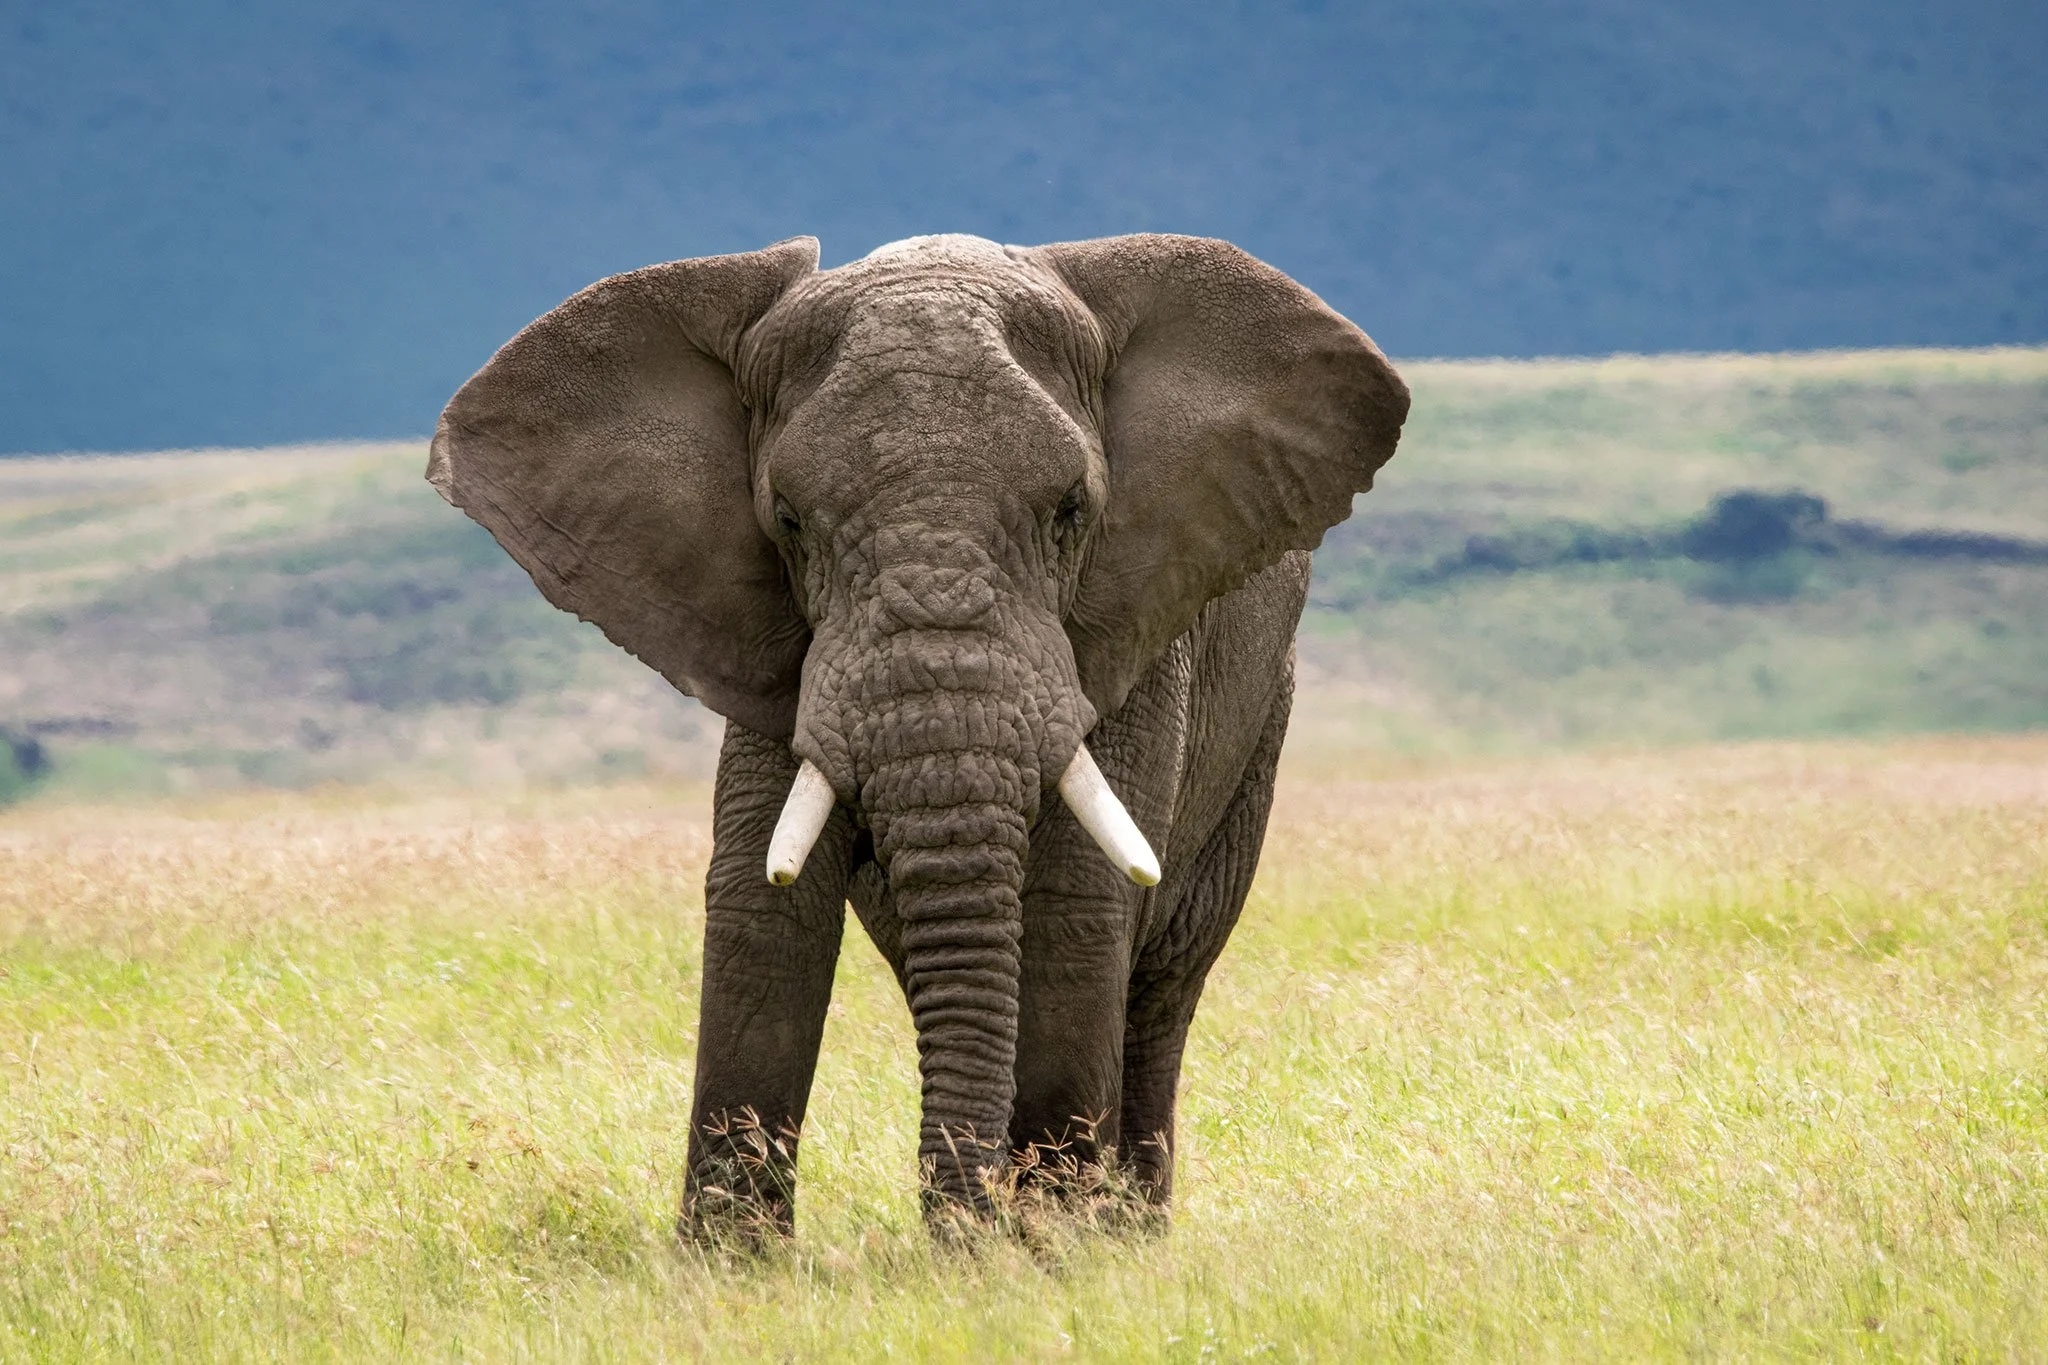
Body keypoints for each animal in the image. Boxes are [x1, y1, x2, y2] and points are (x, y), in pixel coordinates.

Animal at [428, 232, 1408, 1236]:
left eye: (1072, 510)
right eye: (788, 521)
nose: (980, 1230)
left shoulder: (1136, 624)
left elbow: (1076, 899)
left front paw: (1058, 1250)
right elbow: (762, 905)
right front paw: (731, 1264)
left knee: (1164, 979)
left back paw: (1130, 1232)